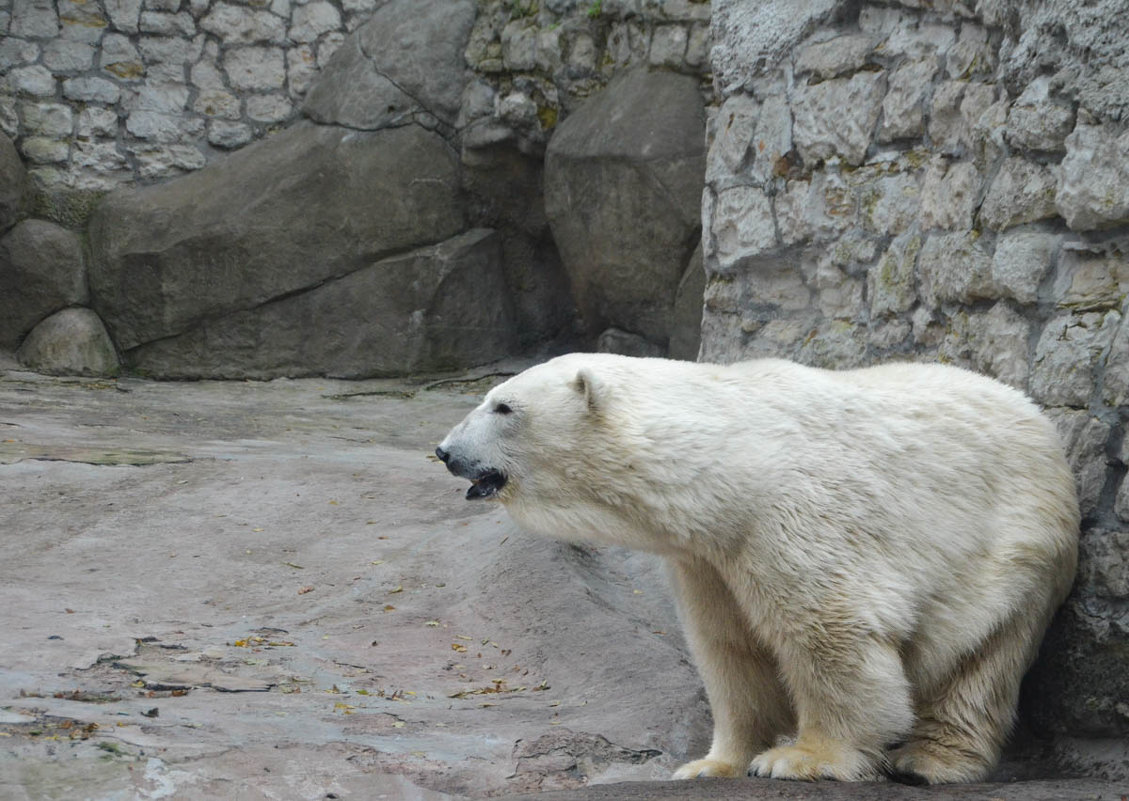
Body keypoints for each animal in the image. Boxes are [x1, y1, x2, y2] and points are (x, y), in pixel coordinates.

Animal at [435, 352, 1079, 786]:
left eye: (504, 405)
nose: (445, 452)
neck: (730, 464)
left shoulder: (793, 514)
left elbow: (829, 629)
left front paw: (803, 758)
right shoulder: (707, 559)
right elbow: (729, 650)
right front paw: (710, 763)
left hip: (1012, 547)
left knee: (981, 659)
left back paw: (927, 761)